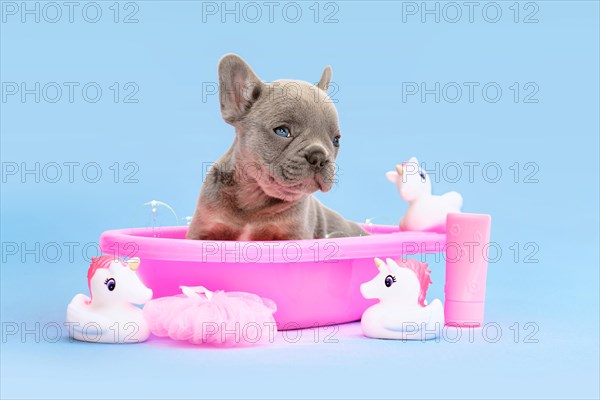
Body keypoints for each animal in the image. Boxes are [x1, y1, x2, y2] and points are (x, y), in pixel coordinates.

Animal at [188, 53, 366, 241]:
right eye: (282, 131)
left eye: (336, 140)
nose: (319, 157)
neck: (253, 196)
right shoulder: (203, 230)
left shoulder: (293, 235)